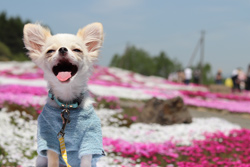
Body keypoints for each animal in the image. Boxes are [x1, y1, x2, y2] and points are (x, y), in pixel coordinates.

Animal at [23, 22, 104, 167]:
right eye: (50, 51)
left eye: (77, 50)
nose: (62, 49)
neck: (67, 104)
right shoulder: (49, 136)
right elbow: (53, 159)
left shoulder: (90, 137)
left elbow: (86, 160)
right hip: (40, 159)